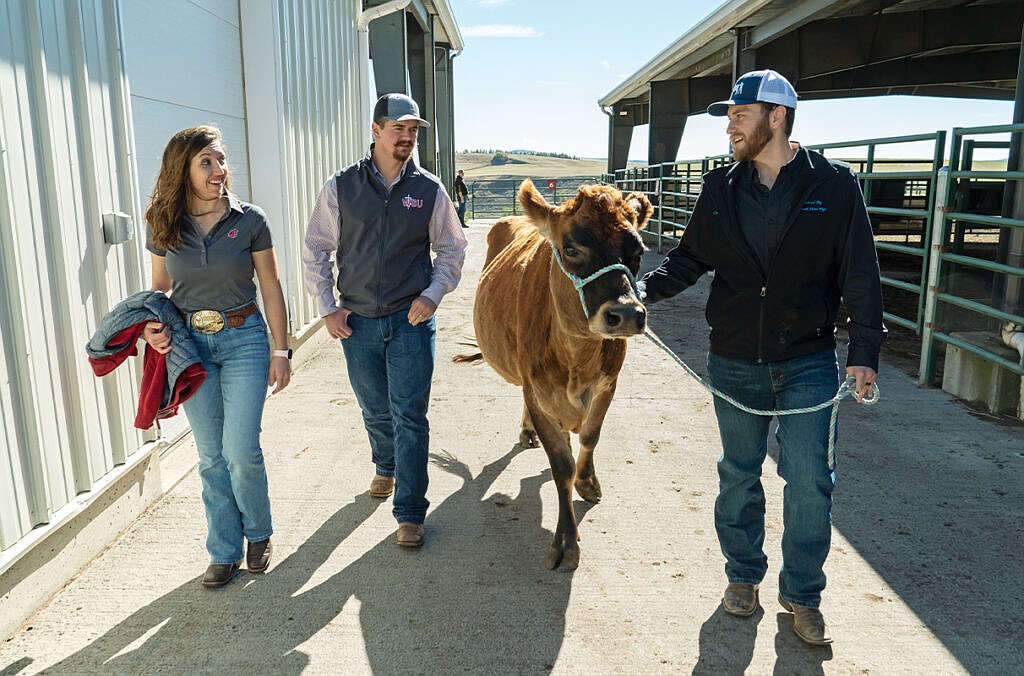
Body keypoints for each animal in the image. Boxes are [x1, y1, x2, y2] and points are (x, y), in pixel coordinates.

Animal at [462, 179, 647, 569]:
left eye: (638, 251)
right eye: (571, 248)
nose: (626, 314)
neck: (577, 354)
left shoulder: (608, 384)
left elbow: (590, 436)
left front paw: (587, 482)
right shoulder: (538, 392)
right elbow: (560, 463)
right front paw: (566, 540)